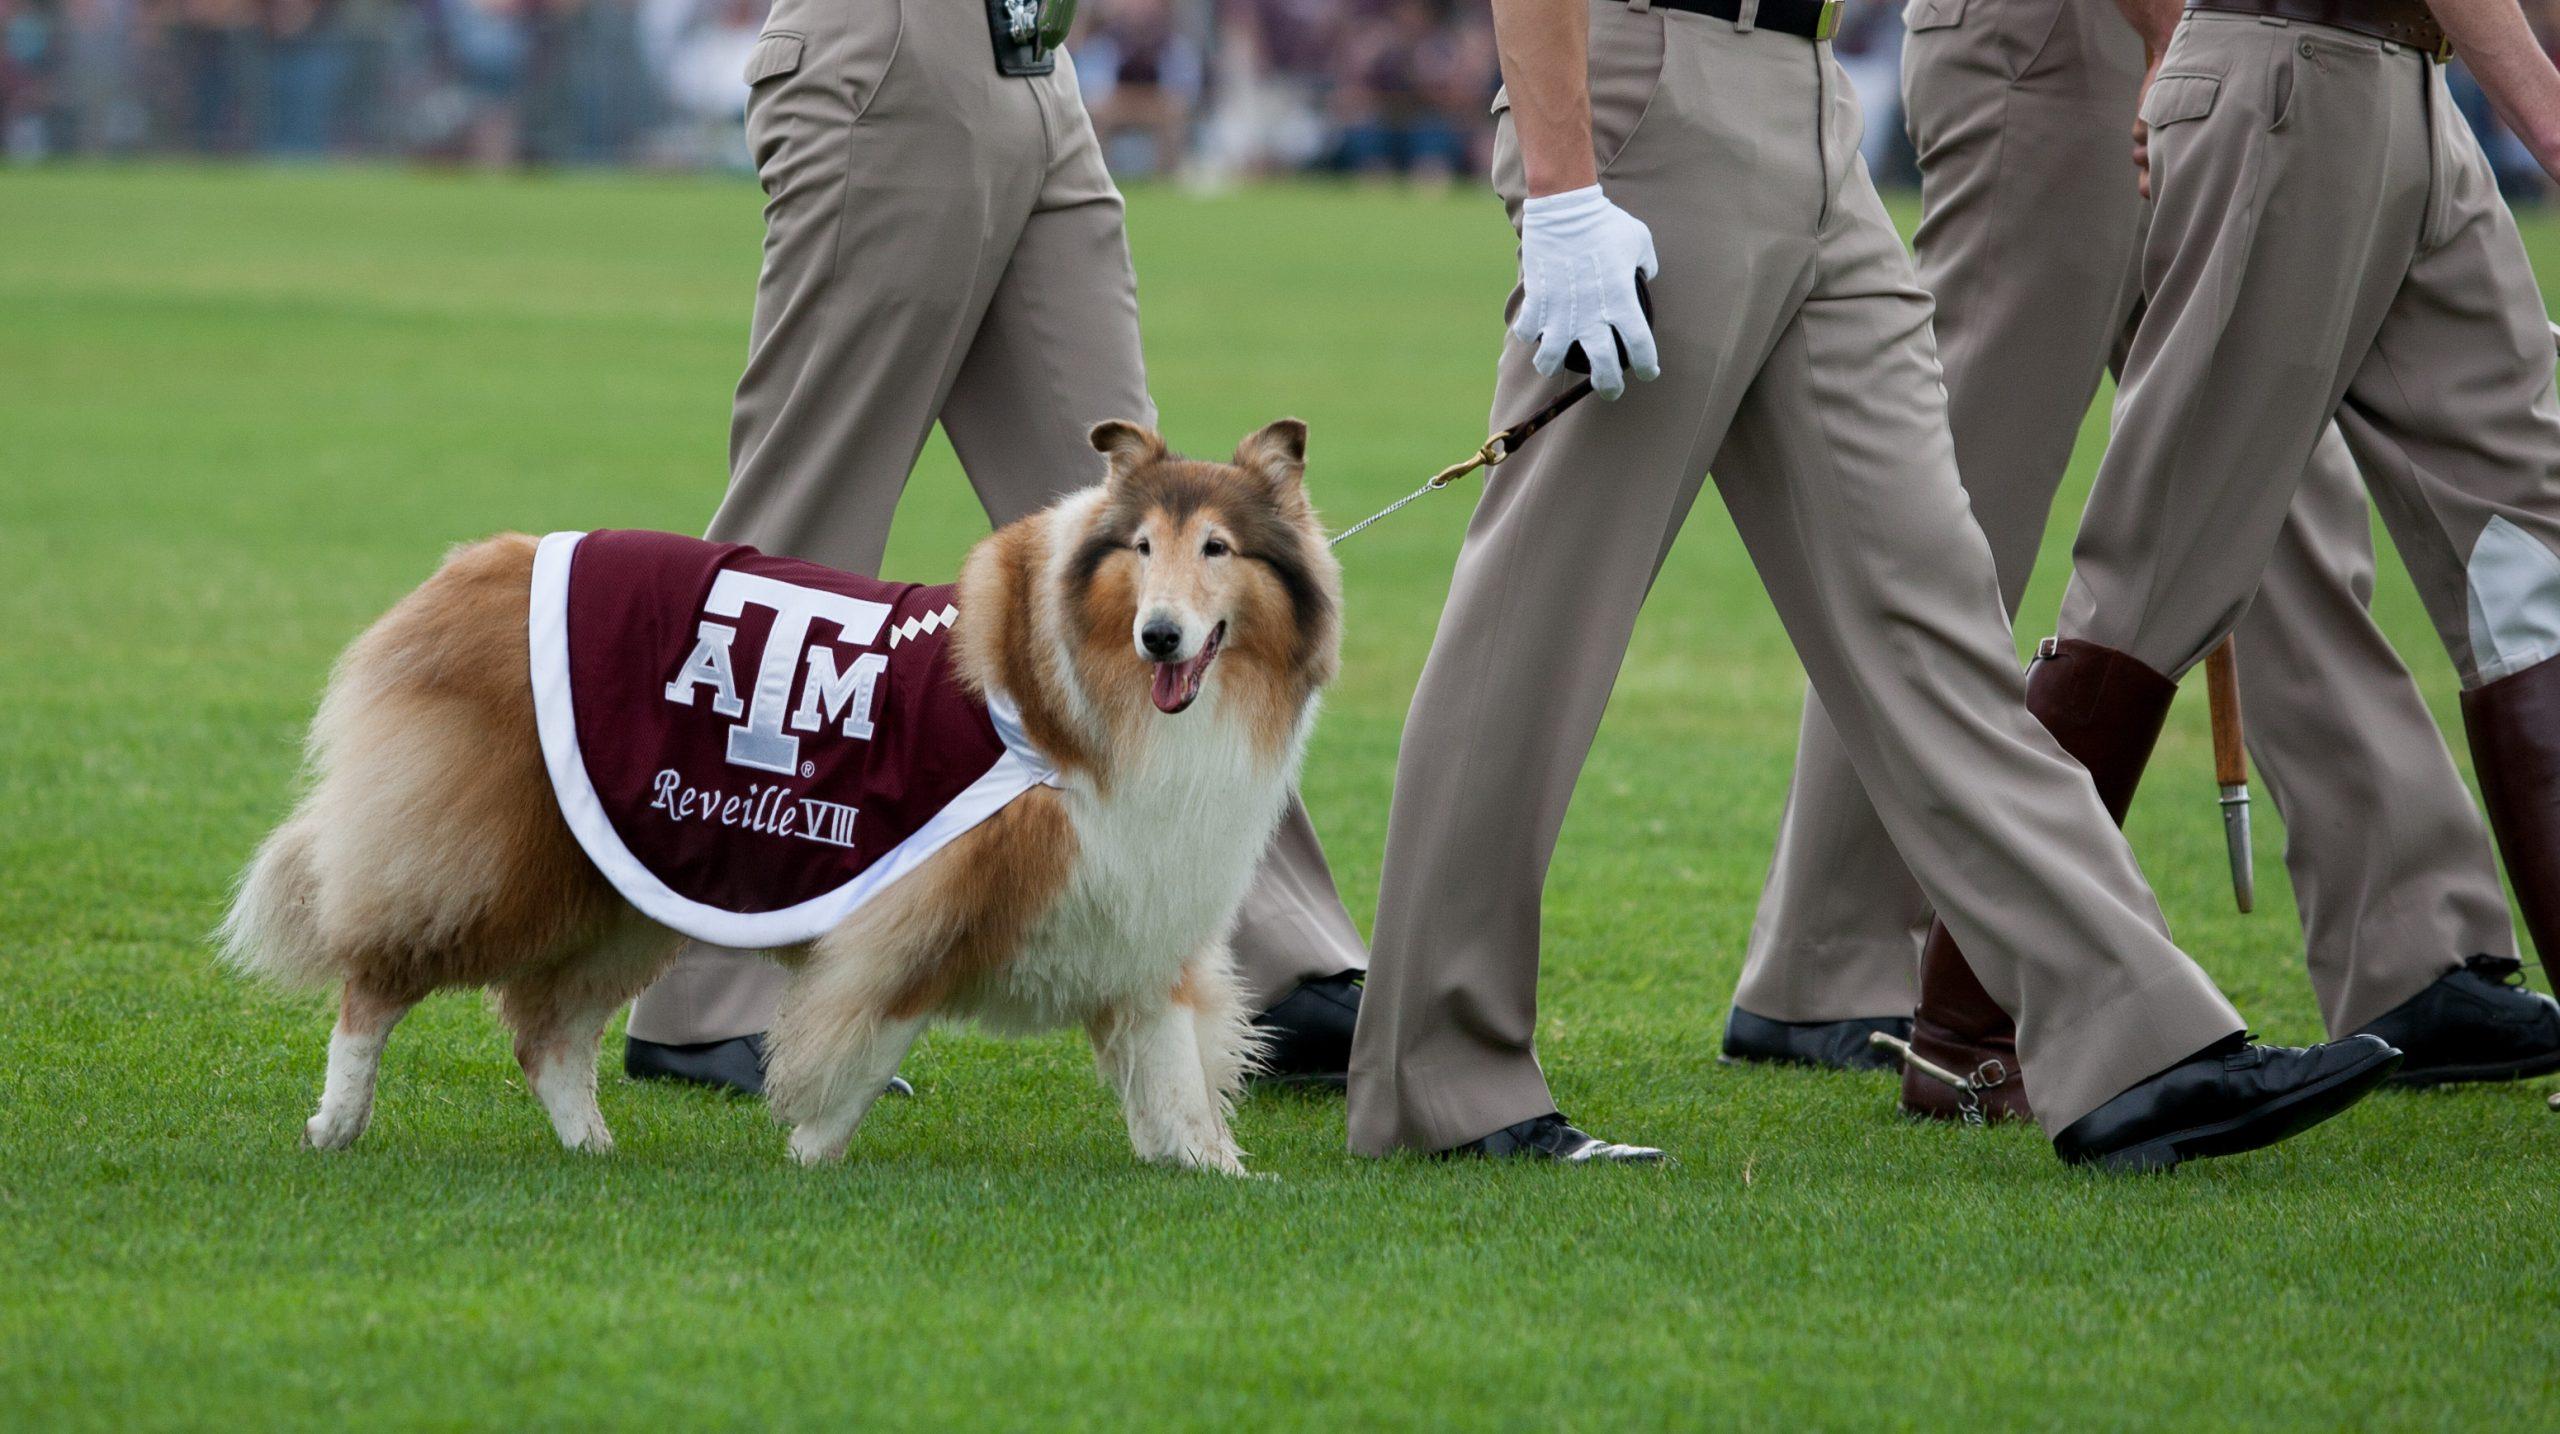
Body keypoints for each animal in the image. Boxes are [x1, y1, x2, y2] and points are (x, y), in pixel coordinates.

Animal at [220, 417, 1341, 1177]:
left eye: (1217, 549)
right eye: (1141, 548)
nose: (1161, 636)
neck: (1085, 691)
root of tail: (474, 567)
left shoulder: (1141, 896)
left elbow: (1171, 1063)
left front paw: (1214, 1171)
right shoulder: (928, 905)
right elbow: (874, 1032)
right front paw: (809, 1151)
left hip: (626, 882)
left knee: (547, 1030)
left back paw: (592, 1146)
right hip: (493, 864)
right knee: (378, 982)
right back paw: (337, 1124)